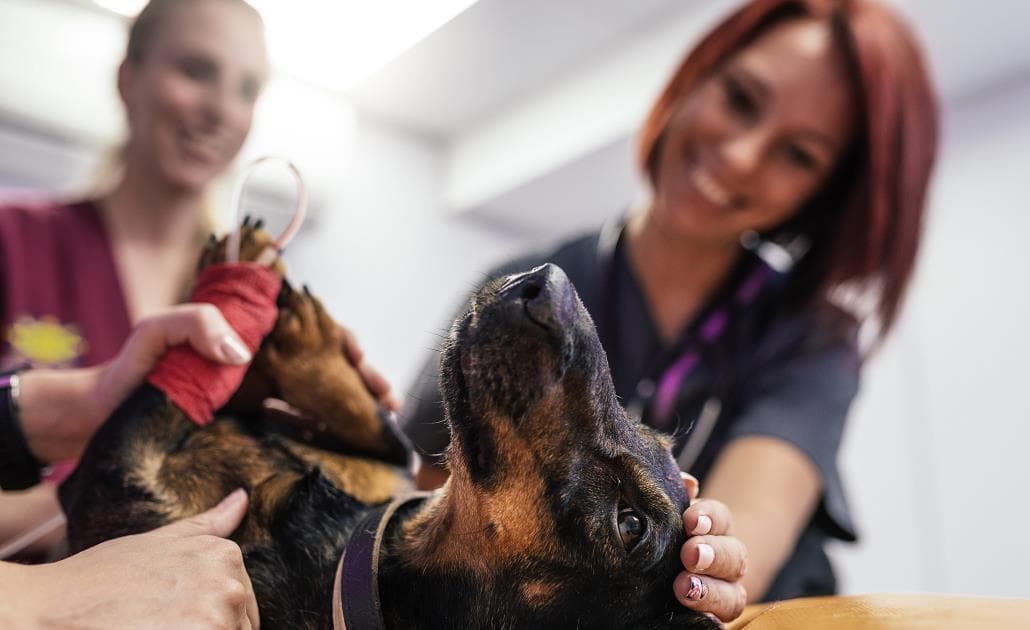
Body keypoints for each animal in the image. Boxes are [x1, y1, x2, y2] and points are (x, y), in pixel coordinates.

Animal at [58, 227, 716, 630]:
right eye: (654, 434)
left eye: (630, 524)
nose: (548, 282)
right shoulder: (390, 470)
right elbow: (385, 436)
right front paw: (296, 331)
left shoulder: (120, 484)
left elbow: (165, 391)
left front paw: (227, 317)